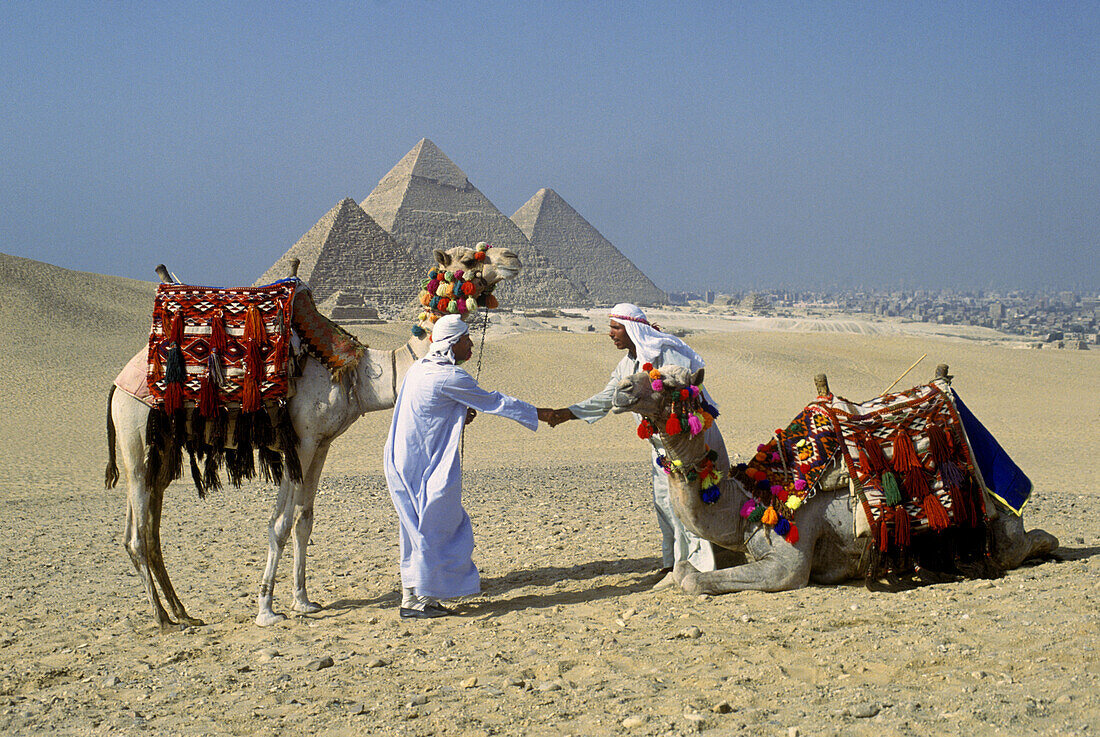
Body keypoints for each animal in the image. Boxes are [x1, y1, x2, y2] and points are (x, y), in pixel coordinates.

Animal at [105, 246, 521, 629]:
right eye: (468, 260)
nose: (513, 257)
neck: (358, 373)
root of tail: (119, 383)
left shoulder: (322, 444)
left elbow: (304, 519)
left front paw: (303, 601)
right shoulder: (301, 443)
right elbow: (279, 524)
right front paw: (266, 610)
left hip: (161, 451)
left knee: (148, 530)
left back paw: (183, 613)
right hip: (136, 436)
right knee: (138, 534)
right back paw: (163, 619)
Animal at [611, 367, 1056, 598]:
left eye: (669, 383)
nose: (621, 388)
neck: (753, 498)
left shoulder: (788, 566)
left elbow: (694, 578)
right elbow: (682, 569)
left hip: (999, 532)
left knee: (1026, 542)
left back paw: (1047, 548)